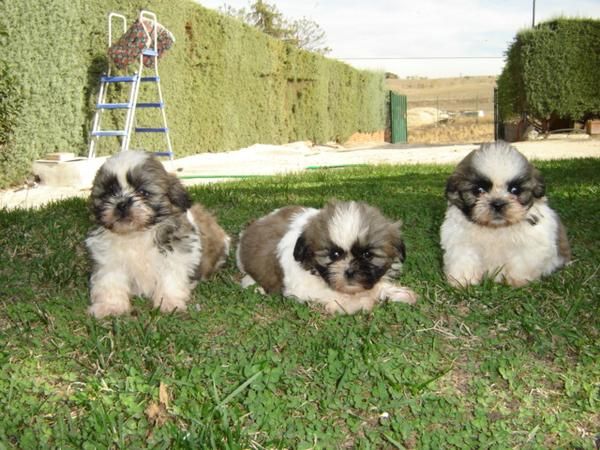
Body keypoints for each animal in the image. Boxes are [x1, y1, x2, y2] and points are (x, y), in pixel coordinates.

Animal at [86, 153, 230, 318]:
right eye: (110, 192)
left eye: (143, 192)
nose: (121, 204)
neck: (137, 234)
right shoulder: (109, 260)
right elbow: (110, 281)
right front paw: (110, 306)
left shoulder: (175, 255)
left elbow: (170, 278)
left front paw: (168, 303)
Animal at [236, 202, 418, 314]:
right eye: (334, 255)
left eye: (367, 255)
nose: (349, 271)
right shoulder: (302, 287)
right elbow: (331, 294)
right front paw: (360, 302)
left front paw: (393, 292)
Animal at [440, 142, 572, 288]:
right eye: (479, 190)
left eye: (515, 190)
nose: (497, 203)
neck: (496, 228)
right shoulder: (461, 242)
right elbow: (464, 260)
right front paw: (462, 281)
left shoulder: (529, 244)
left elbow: (522, 261)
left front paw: (518, 281)